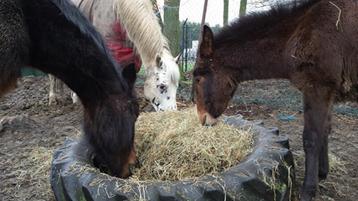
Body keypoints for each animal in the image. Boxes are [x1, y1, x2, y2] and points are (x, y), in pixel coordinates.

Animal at [193, 0, 358, 200]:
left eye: (198, 78)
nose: (202, 118)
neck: (297, 34)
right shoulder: (328, 93)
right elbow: (325, 130)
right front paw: (322, 172)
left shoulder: (317, 88)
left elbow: (311, 137)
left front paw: (308, 189)